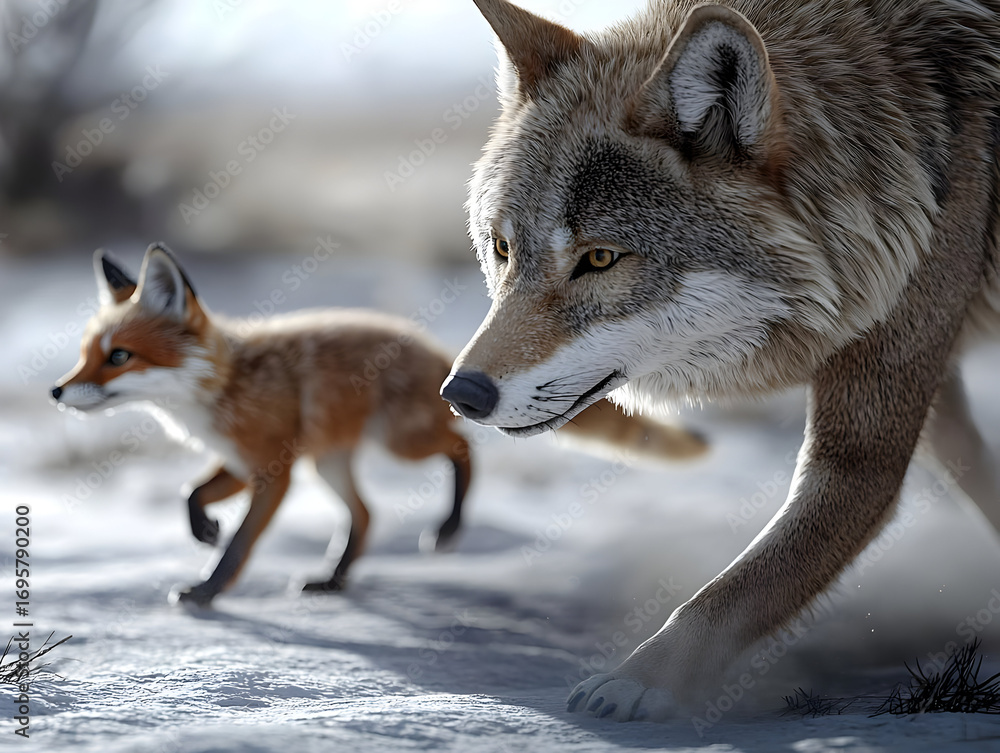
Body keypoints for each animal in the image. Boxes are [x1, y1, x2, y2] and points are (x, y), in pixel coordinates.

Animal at [52, 243, 707, 607]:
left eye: (119, 357)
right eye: (86, 354)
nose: (57, 391)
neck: (221, 390)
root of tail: (435, 350)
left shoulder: (275, 470)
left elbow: (241, 545)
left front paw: (210, 589)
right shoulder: (246, 461)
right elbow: (192, 494)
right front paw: (203, 531)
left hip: (398, 444)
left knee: (462, 449)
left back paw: (447, 528)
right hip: (331, 462)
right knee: (365, 516)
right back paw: (335, 579)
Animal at [441, 0, 1000, 722]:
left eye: (600, 258)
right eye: (503, 249)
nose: (463, 393)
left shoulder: (864, 449)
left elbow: (741, 588)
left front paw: (643, 680)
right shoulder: (925, 372)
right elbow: (979, 476)